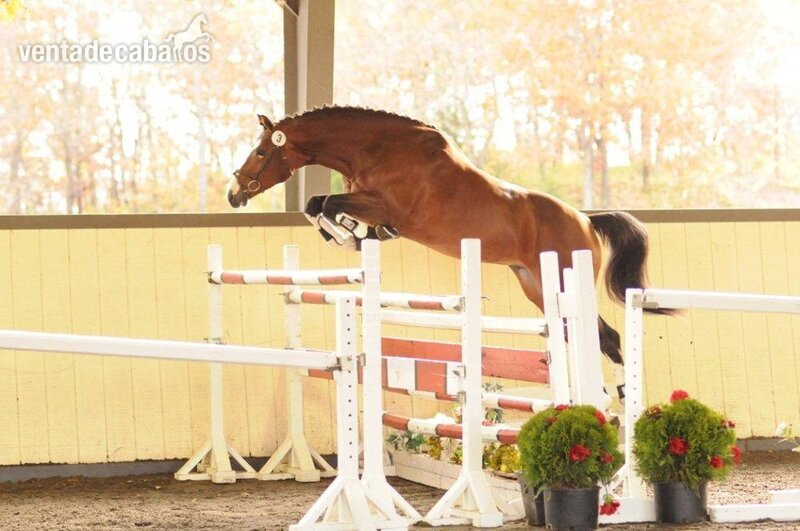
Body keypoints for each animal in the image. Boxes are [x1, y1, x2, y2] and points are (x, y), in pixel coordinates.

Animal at [228, 106, 674, 398]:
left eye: (262, 152)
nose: (234, 194)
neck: (378, 149)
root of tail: (585, 220)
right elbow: (317, 203)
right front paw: (351, 235)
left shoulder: (387, 206)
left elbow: (328, 203)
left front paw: (349, 235)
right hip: (536, 286)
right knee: (587, 335)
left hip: (564, 280)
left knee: (606, 336)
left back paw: (618, 392)